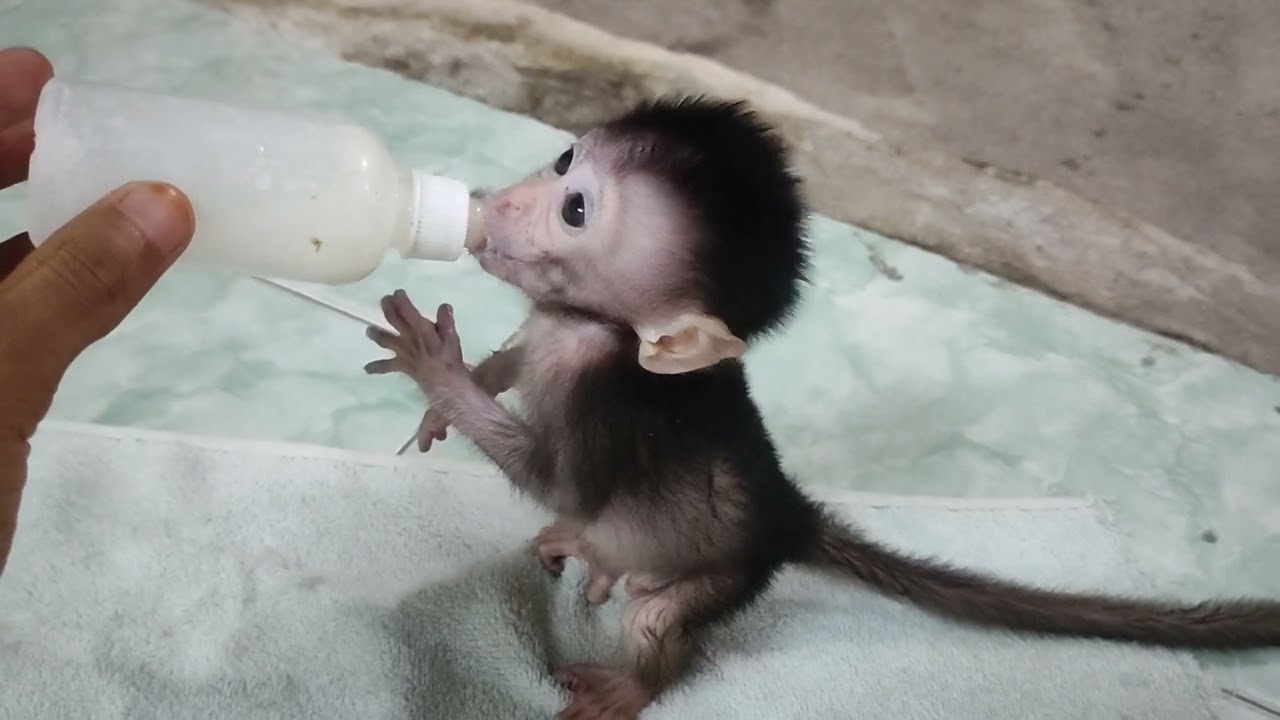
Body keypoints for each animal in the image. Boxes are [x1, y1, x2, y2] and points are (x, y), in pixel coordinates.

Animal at [363, 97, 1280, 719]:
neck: (594, 331)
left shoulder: (606, 401)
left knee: (659, 620)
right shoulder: (551, 331)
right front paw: (454, 394)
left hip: (727, 577)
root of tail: (787, 514)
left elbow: (561, 478)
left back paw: (632, 683)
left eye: (576, 209)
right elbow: (516, 362)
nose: (492, 206)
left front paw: (437, 370)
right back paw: (584, 550)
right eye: (564, 158)